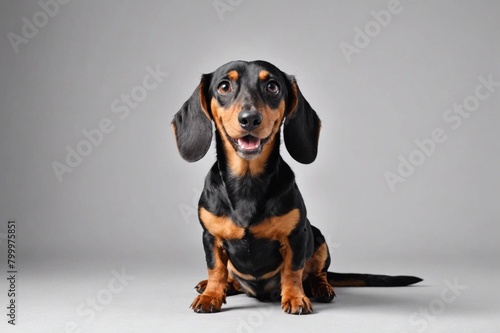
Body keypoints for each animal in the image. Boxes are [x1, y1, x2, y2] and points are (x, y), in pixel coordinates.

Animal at [172, 60, 422, 314]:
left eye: (272, 87)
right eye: (224, 86)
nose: (250, 118)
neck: (247, 180)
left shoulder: (297, 236)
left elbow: (292, 271)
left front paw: (295, 297)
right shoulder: (210, 237)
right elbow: (216, 269)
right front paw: (211, 295)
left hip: (319, 238)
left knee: (318, 274)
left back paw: (321, 288)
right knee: (231, 276)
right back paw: (217, 286)